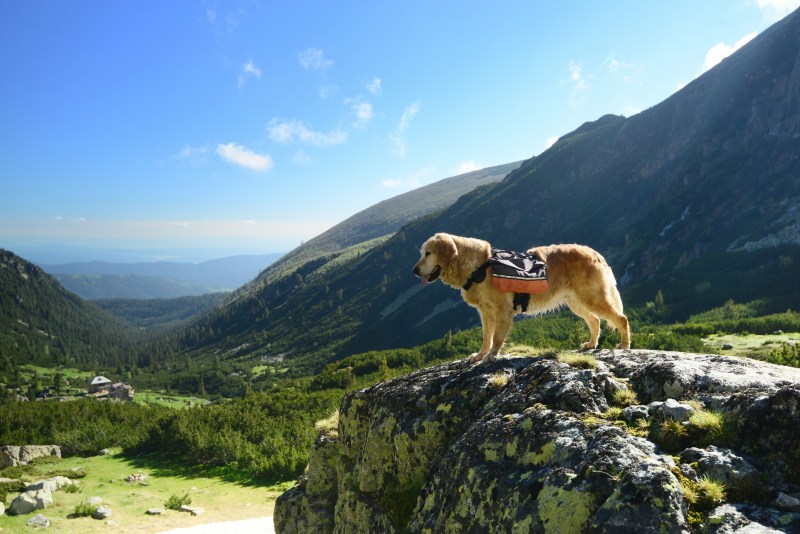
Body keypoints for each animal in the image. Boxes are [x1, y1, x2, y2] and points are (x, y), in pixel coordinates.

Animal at [412, 232, 632, 362]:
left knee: (621, 318)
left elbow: (497, 337)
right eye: (422, 253)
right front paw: (481, 354)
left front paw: (491, 356)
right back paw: (592, 344)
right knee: (595, 321)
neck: (478, 267)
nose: (414, 271)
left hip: (593, 298)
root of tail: (595, 252)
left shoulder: (502, 310)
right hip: (576, 302)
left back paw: (624, 345)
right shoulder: (485, 312)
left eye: (428, 253)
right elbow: (486, 337)